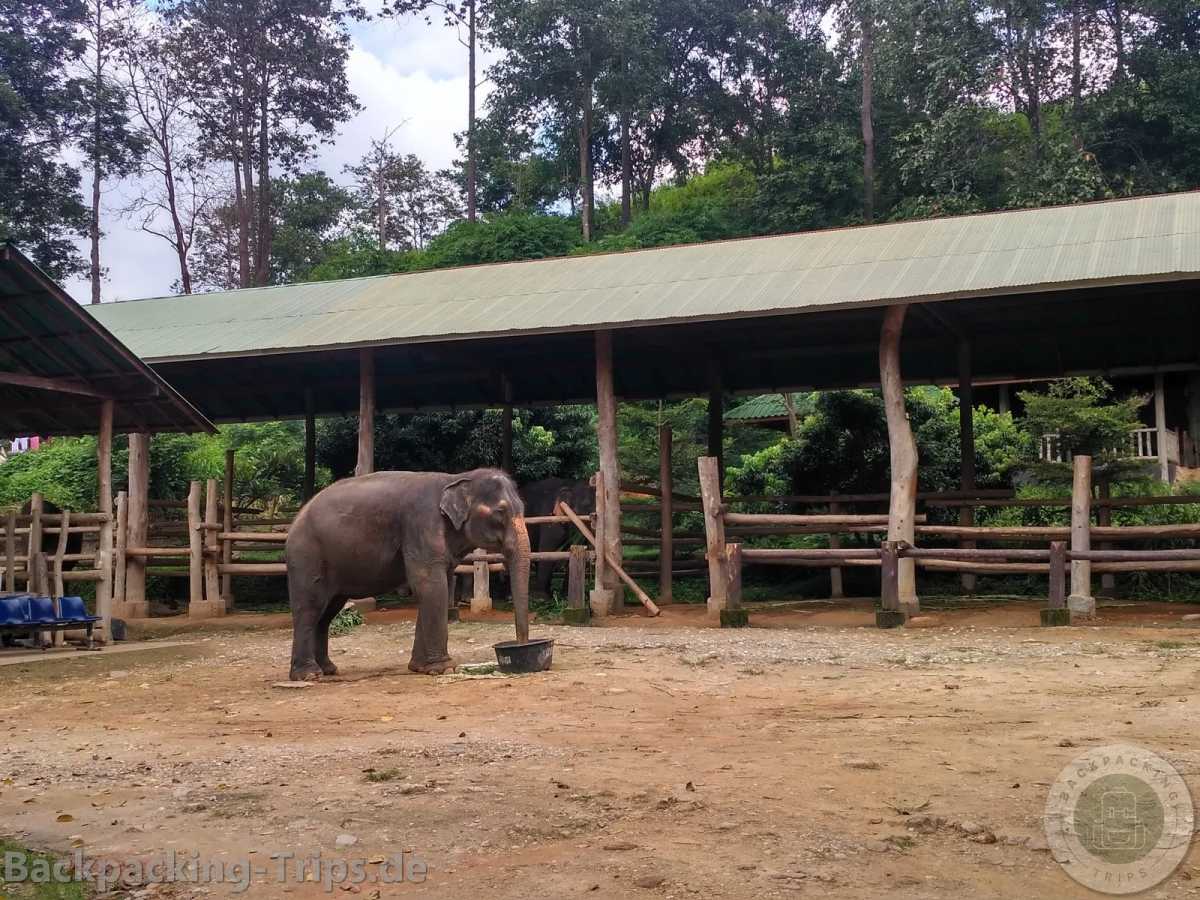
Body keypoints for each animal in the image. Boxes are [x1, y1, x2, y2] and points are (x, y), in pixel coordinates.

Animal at [284, 468, 530, 682]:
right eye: (500, 512)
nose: (521, 645)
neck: (457, 478)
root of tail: (295, 519)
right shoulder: (422, 525)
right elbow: (430, 585)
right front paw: (444, 668)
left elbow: (436, 586)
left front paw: (420, 668)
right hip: (307, 557)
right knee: (310, 608)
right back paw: (308, 675)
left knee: (327, 613)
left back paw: (328, 669)